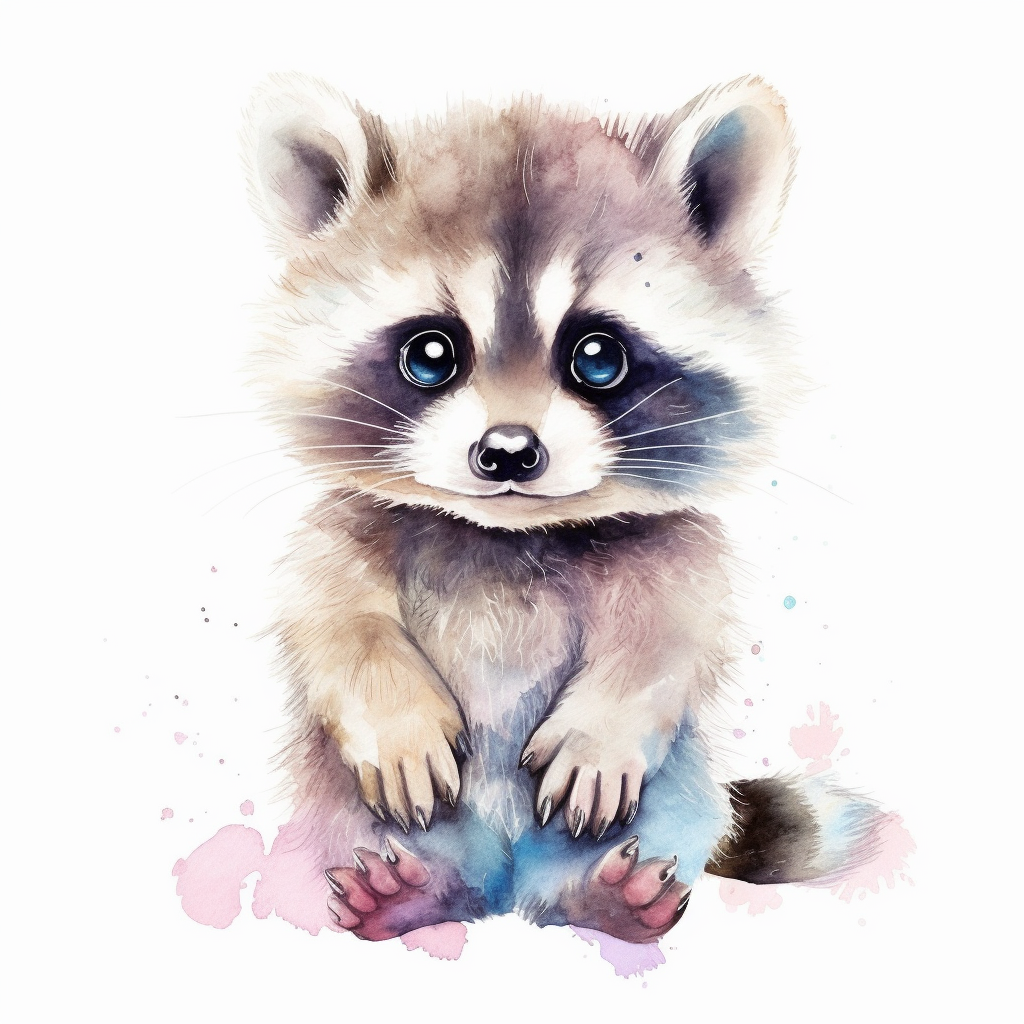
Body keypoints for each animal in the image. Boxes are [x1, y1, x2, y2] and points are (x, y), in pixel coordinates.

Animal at [241, 73, 878, 943]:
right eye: (430, 354)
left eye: (598, 356)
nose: (509, 452)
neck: (511, 536)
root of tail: (507, 888)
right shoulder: (338, 527)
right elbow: (329, 614)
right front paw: (393, 711)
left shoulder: (678, 548)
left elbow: (674, 629)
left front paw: (605, 722)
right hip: (346, 804)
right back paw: (415, 892)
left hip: (672, 796)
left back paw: (601, 898)